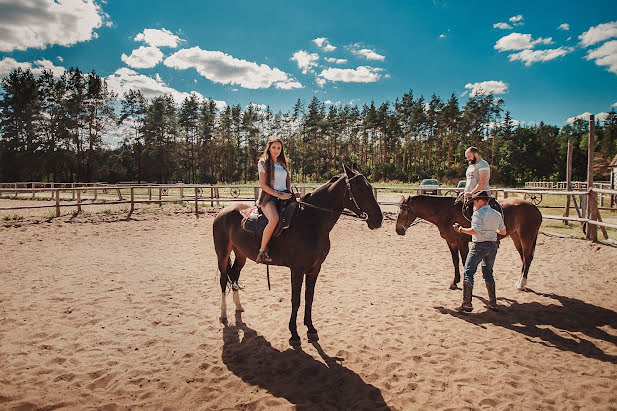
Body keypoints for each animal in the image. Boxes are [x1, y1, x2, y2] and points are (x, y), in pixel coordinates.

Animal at [214, 163, 382, 346]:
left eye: (370, 187)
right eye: (360, 188)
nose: (378, 219)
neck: (311, 222)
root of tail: (223, 212)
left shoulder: (315, 269)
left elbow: (309, 298)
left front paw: (311, 328)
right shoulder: (297, 270)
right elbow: (296, 300)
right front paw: (294, 333)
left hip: (241, 254)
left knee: (234, 275)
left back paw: (238, 306)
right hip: (222, 254)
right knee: (223, 279)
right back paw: (223, 314)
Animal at [394, 196, 540, 290]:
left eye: (403, 211)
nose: (398, 230)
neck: (447, 213)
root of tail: (535, 208)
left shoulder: (462, 243)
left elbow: (465, 262)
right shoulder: (451, 242)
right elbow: (455, 261)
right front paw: (454, 282)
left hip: (526, 237)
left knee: (527, 258)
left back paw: (521, 284)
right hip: (516, 237)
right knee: (524, 258)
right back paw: (520, 282)